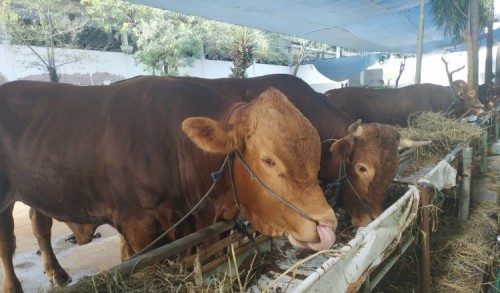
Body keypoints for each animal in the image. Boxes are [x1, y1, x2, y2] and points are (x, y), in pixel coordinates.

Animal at [1, 76, 336, 292]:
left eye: (316, 155)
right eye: (268, 160)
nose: (327, 225)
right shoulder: (139, 228)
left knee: (39, 224)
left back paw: (56, 273)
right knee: (8, 242)